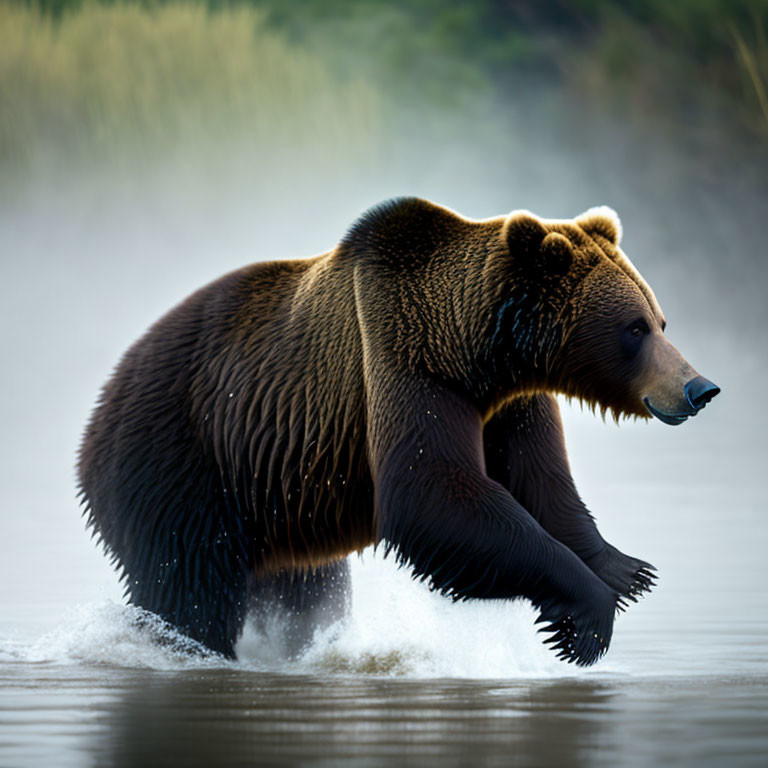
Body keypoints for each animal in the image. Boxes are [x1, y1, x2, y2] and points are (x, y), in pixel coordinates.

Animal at [78, 196, 720, 664]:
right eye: (635, 329)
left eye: (660, 320)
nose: (700, 389)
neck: (474, 352)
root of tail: (101, 401)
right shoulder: (403, 361)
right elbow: (434, 494)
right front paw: (585, 618)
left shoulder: (509, 403)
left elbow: (543, 484)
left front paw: (626, 570)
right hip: (181, 459)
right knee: (186, 587)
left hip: (275, 510)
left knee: (306, 590)